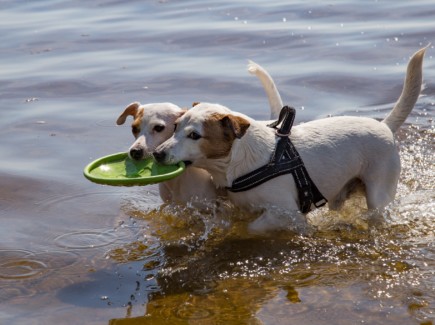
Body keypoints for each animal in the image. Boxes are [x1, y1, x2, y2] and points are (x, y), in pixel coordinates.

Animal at [154, 46, 430, 232]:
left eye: (194, 135)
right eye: (175, 127)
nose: (157, 154)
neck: (238, 163)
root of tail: (384, 126)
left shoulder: (285, 212)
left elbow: (254, 227)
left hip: (379, 195)